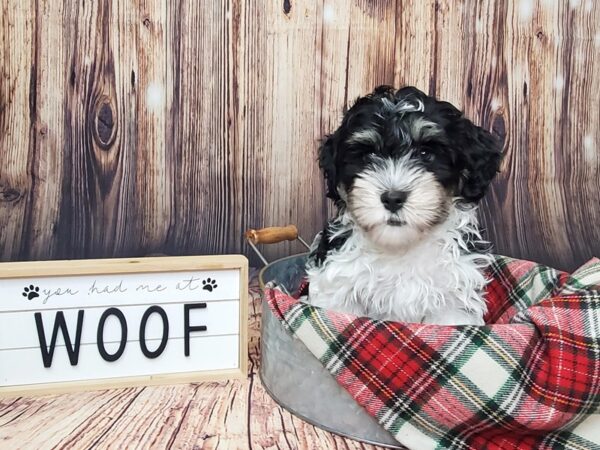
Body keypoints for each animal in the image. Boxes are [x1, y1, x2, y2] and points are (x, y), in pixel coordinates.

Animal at [304, 86, 502, 326]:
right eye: (369, 155)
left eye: (426, 154)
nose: (392, 198)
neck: (400, 247)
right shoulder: (338, 288)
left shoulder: (453, 301)